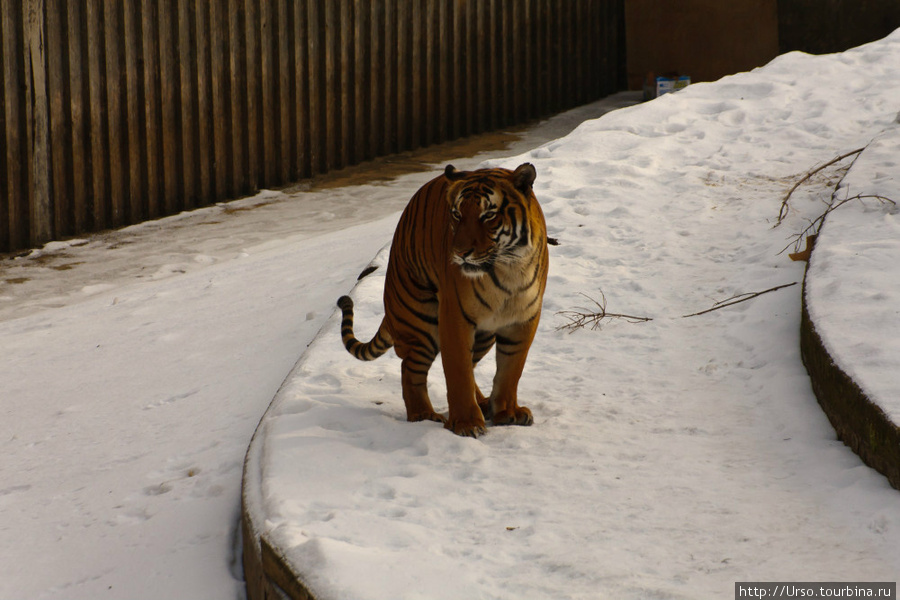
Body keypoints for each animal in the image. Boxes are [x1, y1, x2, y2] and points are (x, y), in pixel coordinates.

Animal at [338, 162, 548, 438]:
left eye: (488, 215)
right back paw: (423, 415)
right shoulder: (455, 317)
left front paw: (507, 412)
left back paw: (483, 403)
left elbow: (510, 370)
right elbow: (458, 373)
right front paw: (467, 424)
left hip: (484, 335)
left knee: (470, 366)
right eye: (457, 215)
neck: (509, 267)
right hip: (420, 321)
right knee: (409, 370)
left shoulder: (523, 320)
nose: (460, 253)